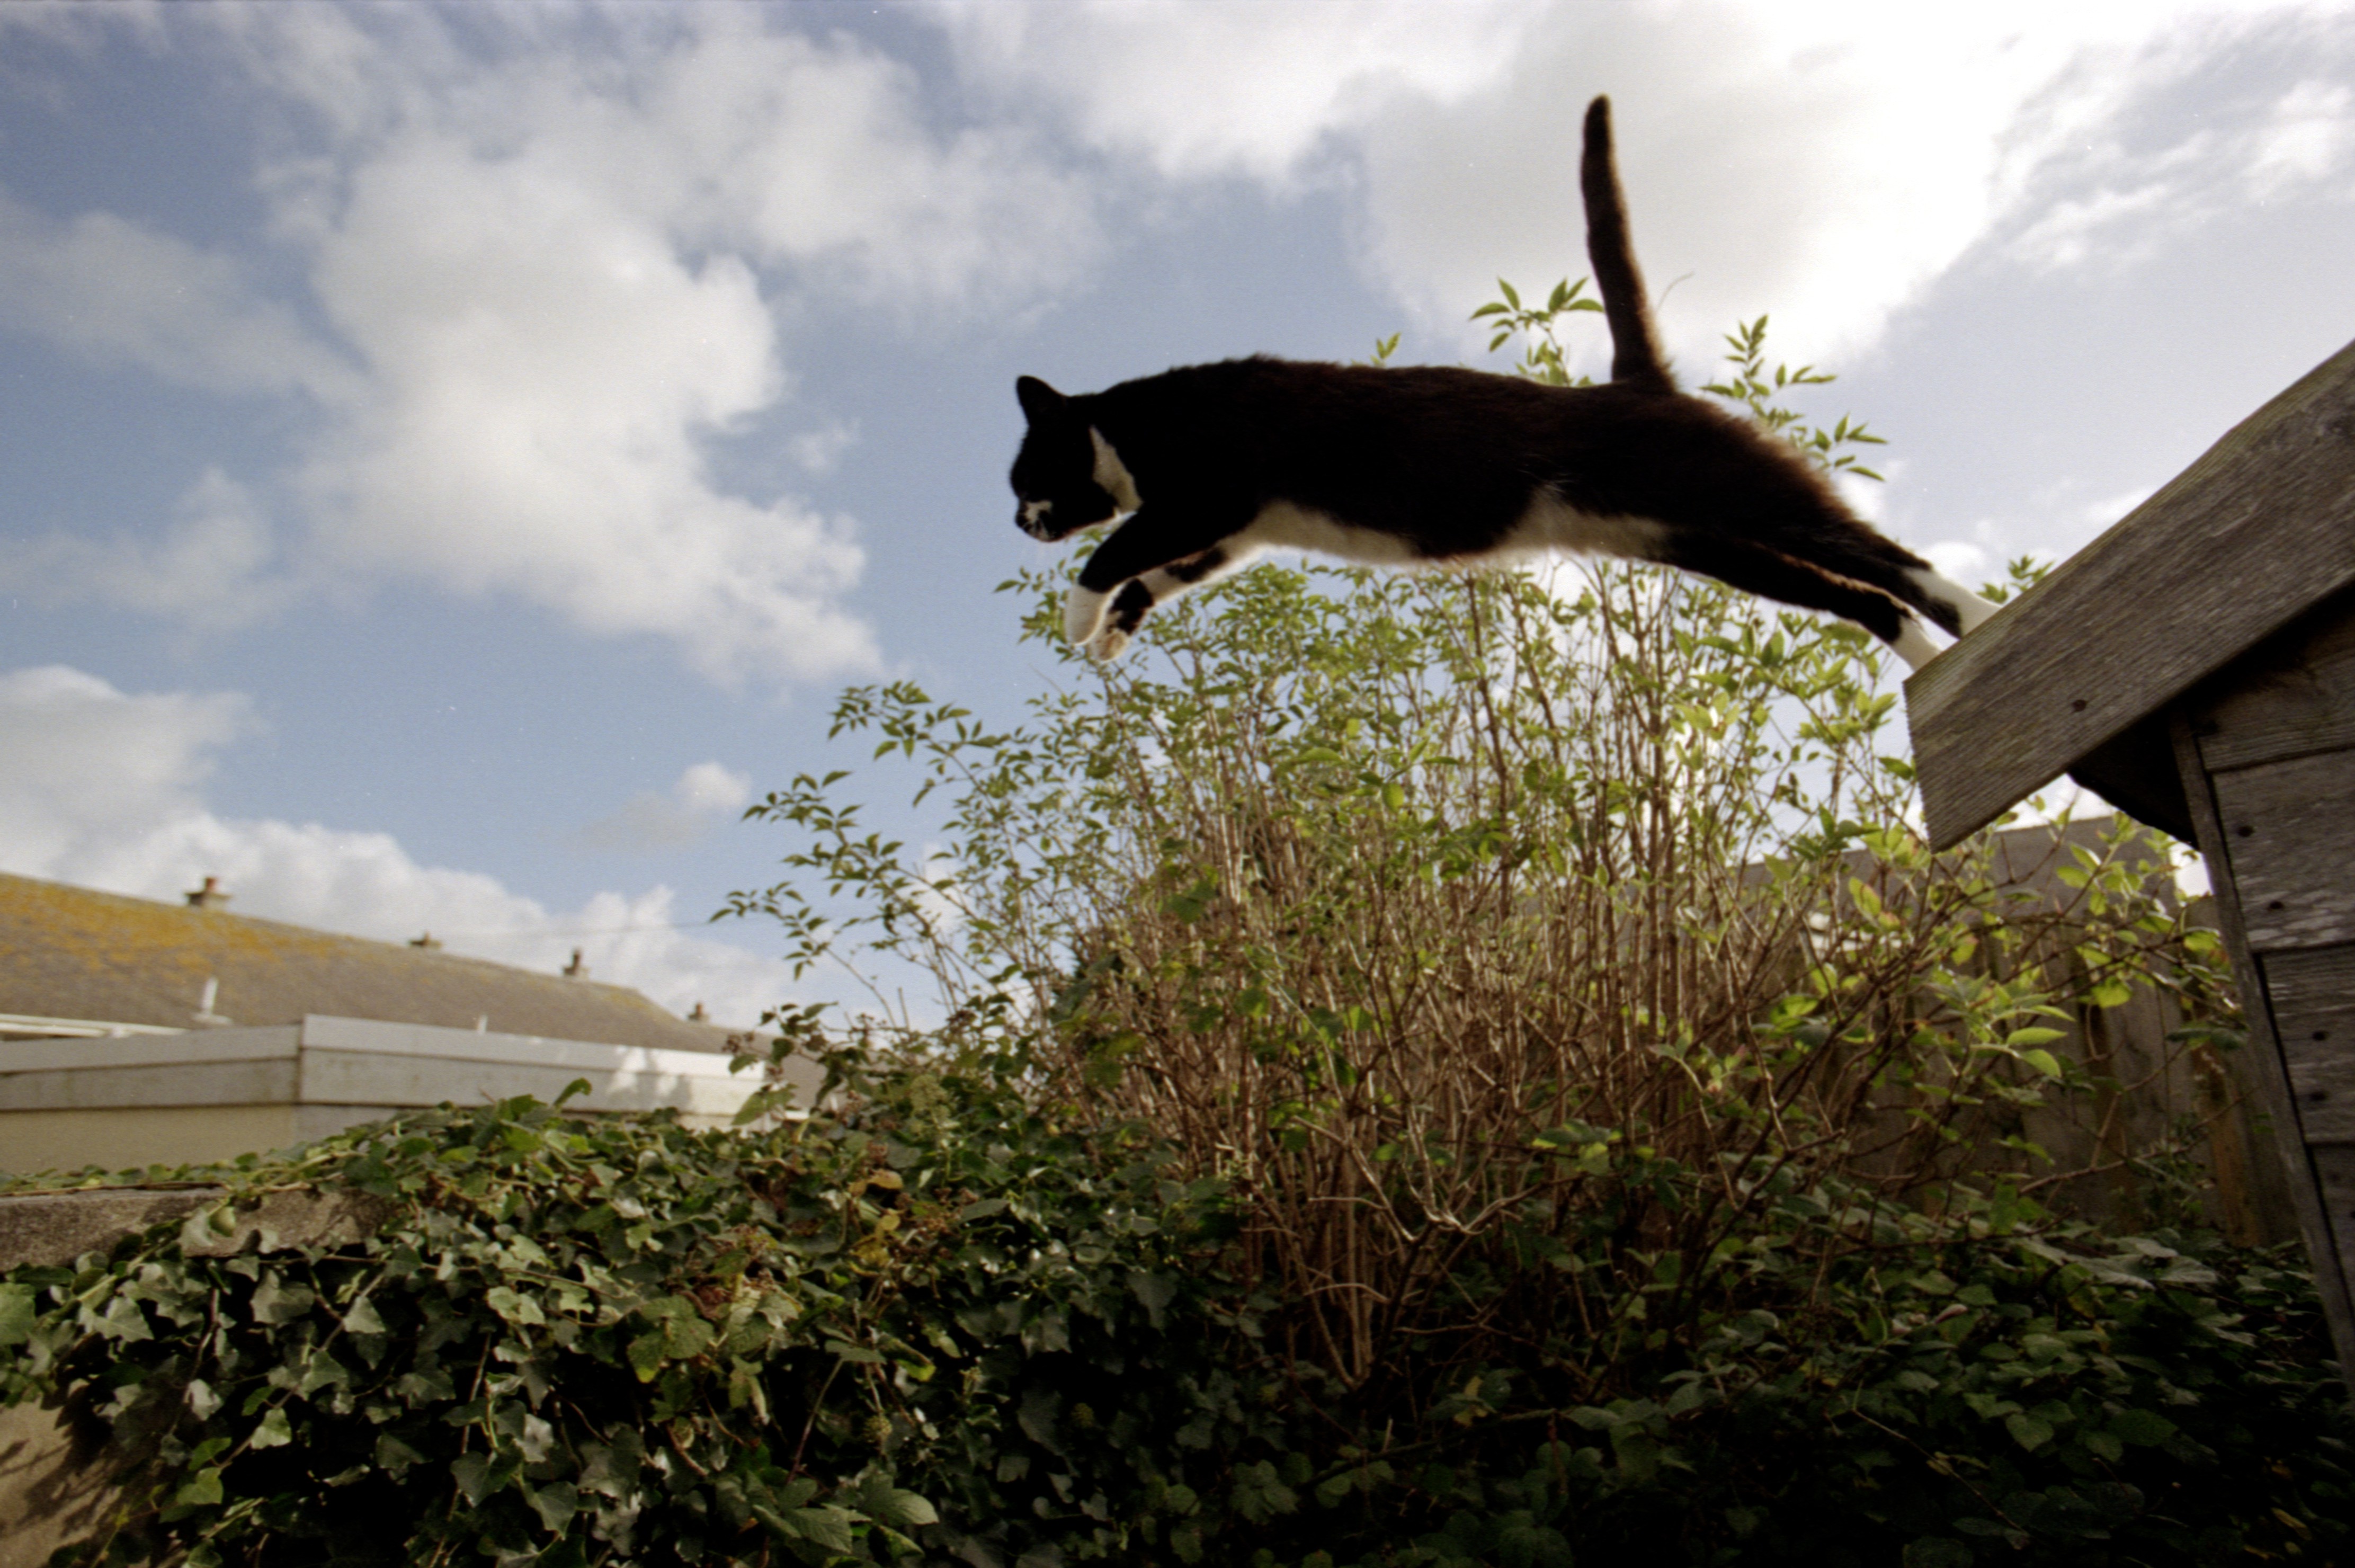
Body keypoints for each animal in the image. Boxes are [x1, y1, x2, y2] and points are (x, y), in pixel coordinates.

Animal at [1007, 96, 1997, 672]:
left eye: (1022, 477)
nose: (1017, 522)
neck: (1137, 425)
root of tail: (1635, 384)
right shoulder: (1231, 530)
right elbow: (1156, 571)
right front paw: (1113, 632)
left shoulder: (1211, 491)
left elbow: (1114, 551)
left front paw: (1076, 617)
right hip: (1703, 542)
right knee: (1859, 596)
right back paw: (1925, 662)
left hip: (1737, 493)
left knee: (1885, 559)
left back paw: (1982, 619)